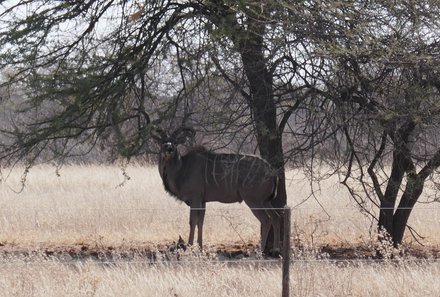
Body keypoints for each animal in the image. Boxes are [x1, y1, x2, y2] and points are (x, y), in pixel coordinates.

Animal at [151, 127, 282, 252]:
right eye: (162, 142)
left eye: (174, 142)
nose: (169, 148)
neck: (183, 168)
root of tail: (271, 170)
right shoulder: (202, 201)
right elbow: (200, 222)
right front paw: (200, 247)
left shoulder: (195, 199)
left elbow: (192, 221)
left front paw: (189, 246)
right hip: (265, 201)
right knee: (276, 217)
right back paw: (275, 249)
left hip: (253, 200)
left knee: (266, 220)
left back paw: (261, 251)